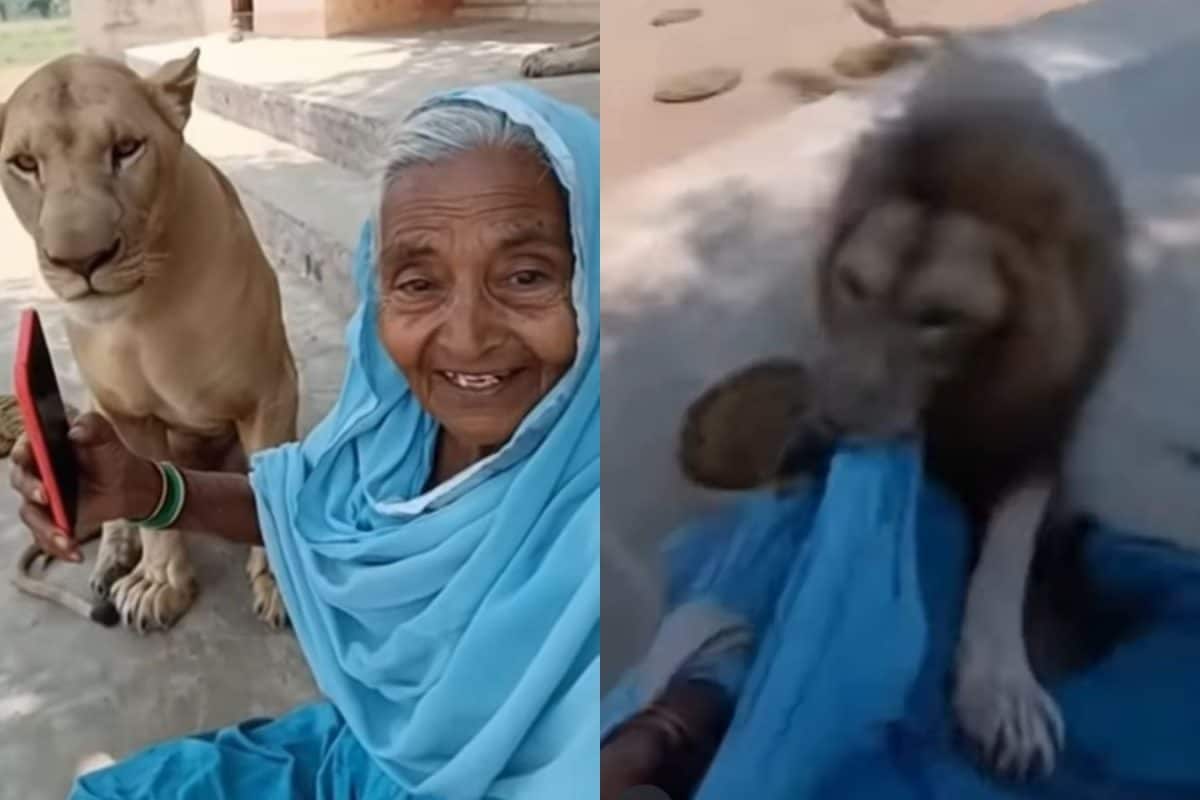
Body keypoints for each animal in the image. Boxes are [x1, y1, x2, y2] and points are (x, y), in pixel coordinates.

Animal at [0, 49, 299, 633]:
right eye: (24, 163)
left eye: (126, 149)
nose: (81, 260)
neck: (142, 317)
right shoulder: (125, 415)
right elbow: (150, 509)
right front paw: (159, 583)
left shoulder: (268, 393)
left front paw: (280, 584)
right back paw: (113, 558)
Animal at [679, 49, 1130, 781]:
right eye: (852, 286)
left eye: (939, 318)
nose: (832, 424)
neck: (963, 392)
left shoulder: (1040, 431)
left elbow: (1007, 553)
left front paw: (1001, 693)